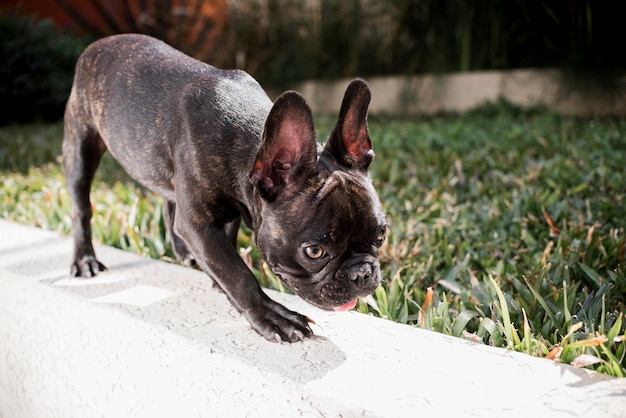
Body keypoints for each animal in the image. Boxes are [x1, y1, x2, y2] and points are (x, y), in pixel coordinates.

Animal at [63, 34, 386, 342]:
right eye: (315, 251)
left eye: (381, 235)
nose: (361, 272)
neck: (252, 142)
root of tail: (97, 45)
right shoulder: (198, 225)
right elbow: (236, 271)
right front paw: (271, 316)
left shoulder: (229, 212)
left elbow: (225, 252)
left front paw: (217, 282)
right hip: (79, 149)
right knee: (81, 208)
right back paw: (85, 260)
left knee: (169, 202)